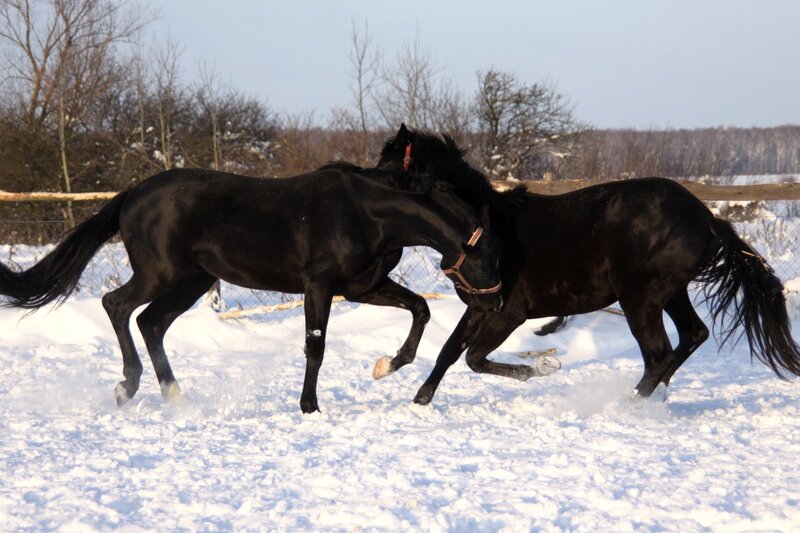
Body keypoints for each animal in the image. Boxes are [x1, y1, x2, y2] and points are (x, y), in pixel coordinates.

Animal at [0, 165, 503, 413]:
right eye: (489, 256)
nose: (498, 302)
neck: (367, 211)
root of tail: (132, 195)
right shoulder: (319, 284)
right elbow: (315, 347)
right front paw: (309, 407)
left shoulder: (364, 285)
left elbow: (419, 309)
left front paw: (386, 365)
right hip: (160, 273)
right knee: (118, 306)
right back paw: (128, 386)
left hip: (193, 279)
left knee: (151, 322)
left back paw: (174, 396)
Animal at [376, 124, 800, 405]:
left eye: (387, 165)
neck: (486, 230)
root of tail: (706, 218)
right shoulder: (480, 308)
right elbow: (449, 351)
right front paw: (418, 396)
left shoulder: (508, 313)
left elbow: (474, 358)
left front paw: (540, 370)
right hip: (670, 293)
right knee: (692, 336)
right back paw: (653, 398)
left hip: (641, 299)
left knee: (659, 354)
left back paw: (629, 405)